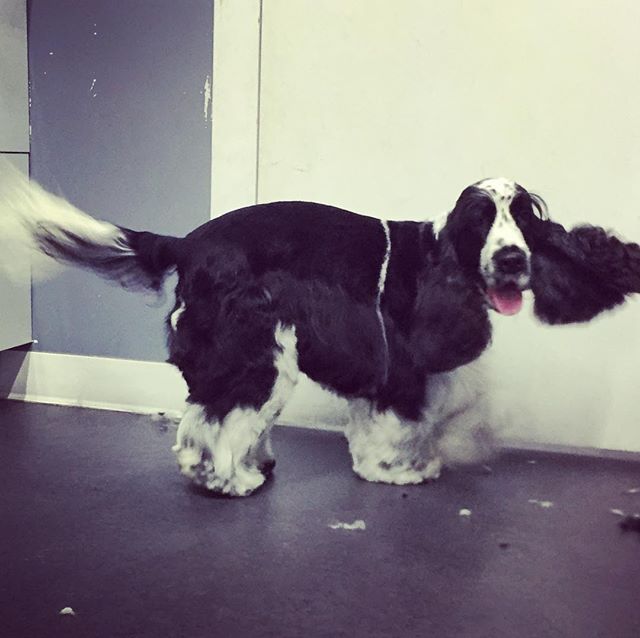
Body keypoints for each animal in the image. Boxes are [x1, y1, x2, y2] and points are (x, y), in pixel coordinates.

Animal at [1, 164, 640, 496]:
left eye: (525, 221)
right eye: (482, 221)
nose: (510, 260)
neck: (439, 262)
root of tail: (188, 243)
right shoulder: (397, 364)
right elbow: (398, 423)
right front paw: (396, 471)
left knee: (208, 415)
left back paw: (250, 466)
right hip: (259, 355)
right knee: (216, 421)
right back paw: (233, 479)